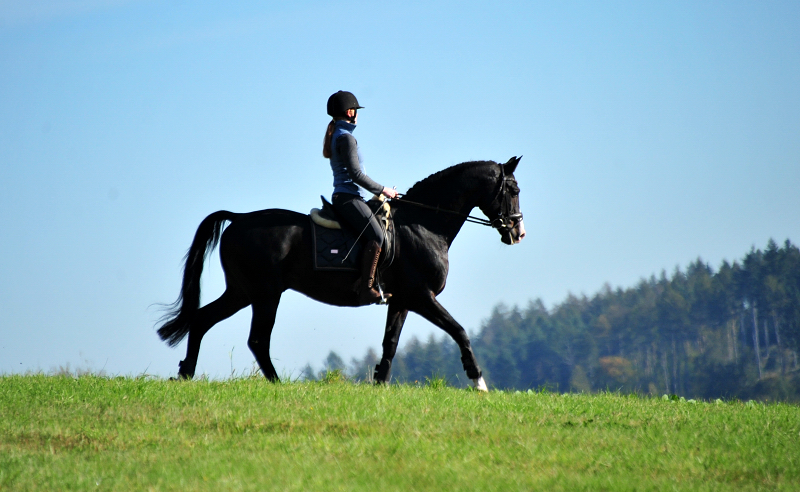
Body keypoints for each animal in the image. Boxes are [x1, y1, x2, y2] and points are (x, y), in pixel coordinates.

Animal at [159, 156, 528, 390]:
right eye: (513, 190)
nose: (518, 233)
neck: (423, 225)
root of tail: (238, 218)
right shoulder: (422, 296)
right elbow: (459, 331)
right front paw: (479, 381)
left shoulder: (402, 300)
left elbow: (390, 343)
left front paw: (379, 384)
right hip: (265, 294)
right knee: (257, 339)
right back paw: (277, 384)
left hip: (241, 291)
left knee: (202, 320)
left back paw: (185, 373)